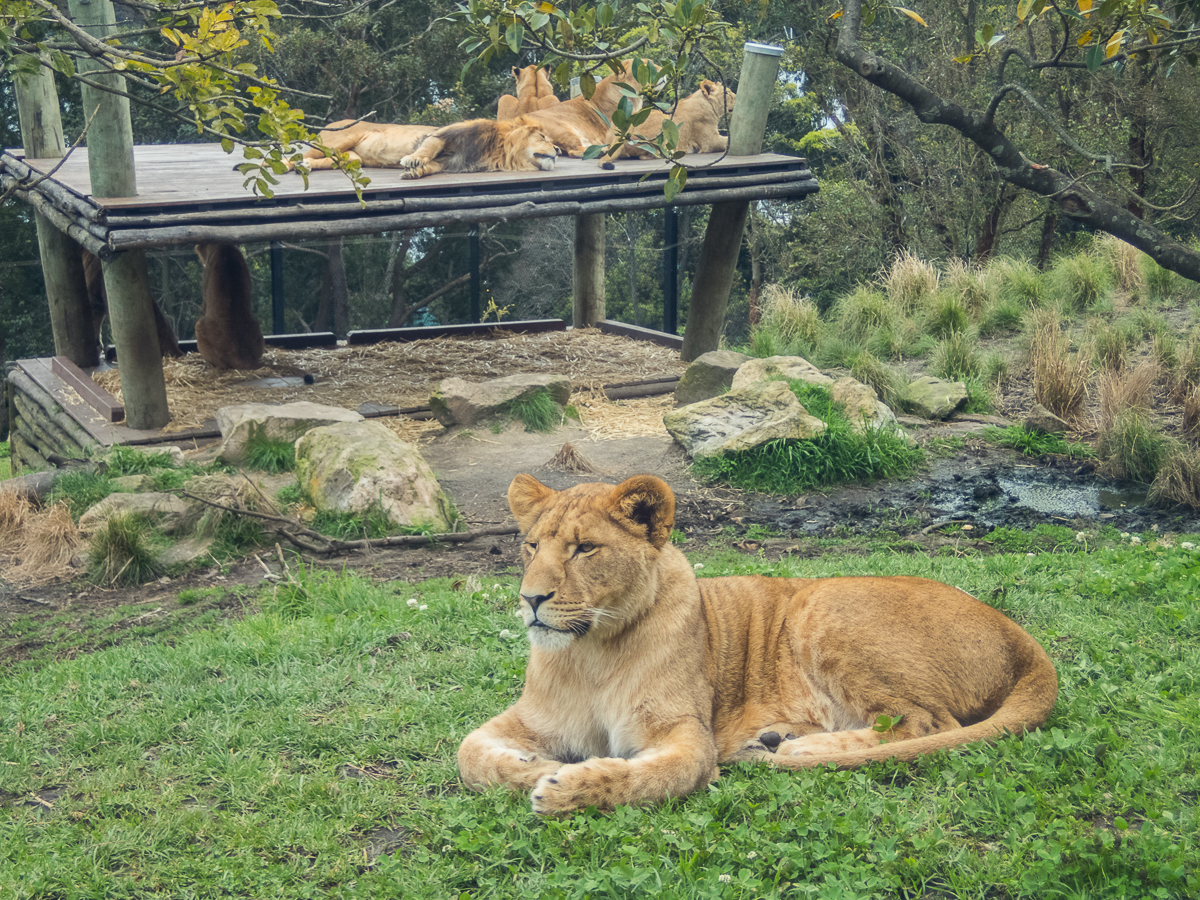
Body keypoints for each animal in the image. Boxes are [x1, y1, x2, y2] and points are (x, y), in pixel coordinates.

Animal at [458, 480, 1060, 816]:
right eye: (531, 545)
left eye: (585, 549)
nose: (530, 598)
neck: (591, 653)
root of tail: (1019, 635)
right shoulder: (530, 718)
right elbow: (469, 753)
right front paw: (534, 768)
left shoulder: (686, 735)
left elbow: (651, 776)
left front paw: (567, 788)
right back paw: (775, 739)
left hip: (820, 603)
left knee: (928, 723)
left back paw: (798, 751)